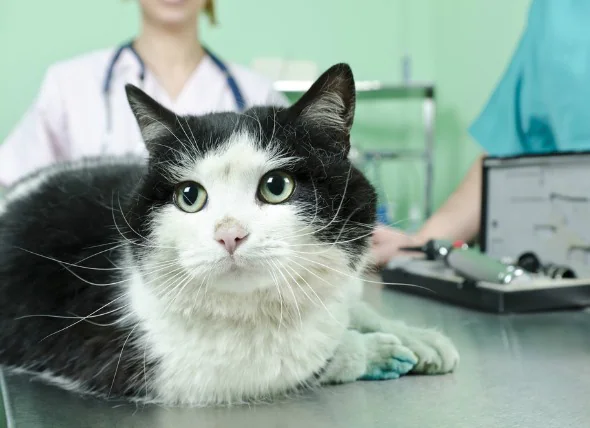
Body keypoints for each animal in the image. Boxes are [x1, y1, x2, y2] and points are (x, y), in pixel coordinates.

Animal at [0, 62, 460, 404]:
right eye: (189, 196)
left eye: (277, 186)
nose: (229, 235)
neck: (265, 310)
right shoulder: (150, 364)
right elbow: (293, 362)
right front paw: (372, 351)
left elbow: (351, 308)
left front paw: (414, 337)